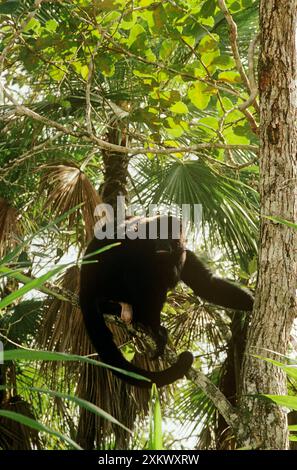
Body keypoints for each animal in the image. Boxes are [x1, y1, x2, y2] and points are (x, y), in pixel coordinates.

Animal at [79, 215, 252, 388]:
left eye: (170, 235)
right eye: (157, 234)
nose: (162, 244)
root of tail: (84, 288)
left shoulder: (185, 254)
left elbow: (206, 284)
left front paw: (251, 302)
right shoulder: (137, 243)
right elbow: (132, 270)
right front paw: (153, 327)